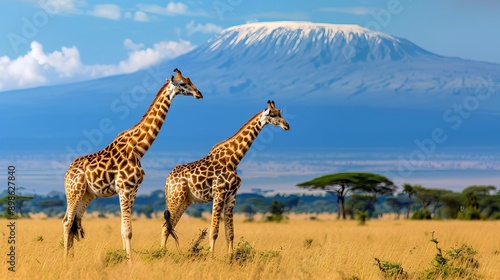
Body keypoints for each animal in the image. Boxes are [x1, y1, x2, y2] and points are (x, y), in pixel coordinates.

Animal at [63, 68, 203, 260]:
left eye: (190, 80)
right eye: (183, 83)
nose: (199, 94)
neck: (138, 148)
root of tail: (67, 173)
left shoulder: (133, 190)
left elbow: (124, 229)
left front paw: (124, 258)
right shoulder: (125, 188)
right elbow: (127, 231)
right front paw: (129, 262)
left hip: (86, 194)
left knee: (73, 223)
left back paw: (71, 258)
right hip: (74, 192)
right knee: (67, 222)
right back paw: (65, 260)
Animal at [161, 100, 290, 254]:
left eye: (280, 112)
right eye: (273, 114)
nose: (287, 126)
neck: (233, 160)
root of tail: (168, 180)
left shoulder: (232, 196)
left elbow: (230, 233)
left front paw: (230, 257)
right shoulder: (219, 193)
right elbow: (214, 231)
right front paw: (211, 257)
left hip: (185, 200)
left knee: (170, 226)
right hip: (176, 198)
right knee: (165, 227)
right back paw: (160, 253)